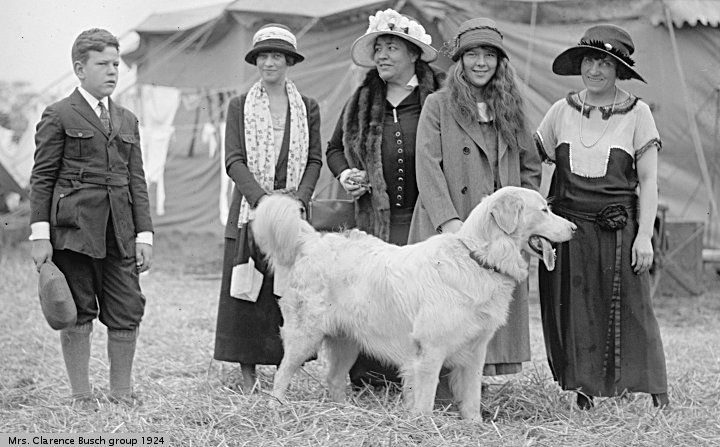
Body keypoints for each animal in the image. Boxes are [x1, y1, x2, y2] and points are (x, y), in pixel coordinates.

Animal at [252, 186, 576, 420]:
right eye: (544, 210)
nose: (573, 227)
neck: (478, 259)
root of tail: (314, 240)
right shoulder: (429, 353)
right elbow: (426, 398)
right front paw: (423, 425)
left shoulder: (475, 352)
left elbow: (472, 398)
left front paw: (475, 426)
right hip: (304, 336)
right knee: (282, 373)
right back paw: (275, 410)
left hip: (348, 341)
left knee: (333, 379)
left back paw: (344, 411)